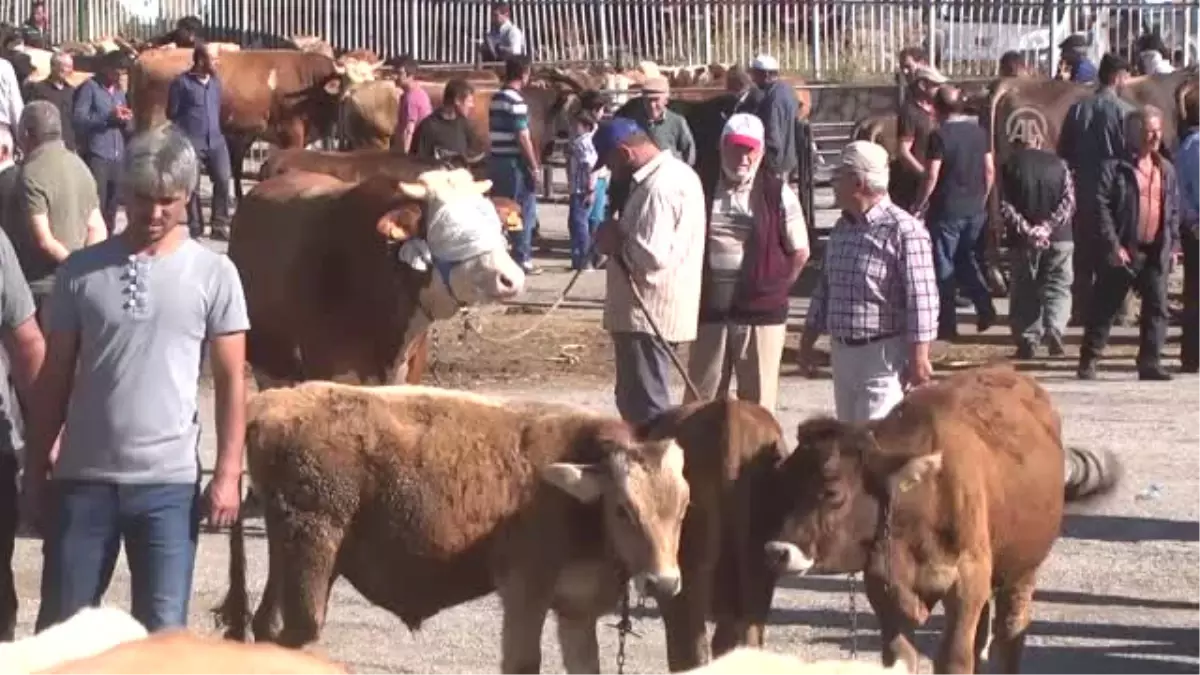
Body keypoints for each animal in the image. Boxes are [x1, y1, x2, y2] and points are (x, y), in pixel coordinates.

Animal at [211, 379, 691, 672]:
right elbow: (523, 662)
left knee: (265, 625)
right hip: (314, 549)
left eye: (684, 507)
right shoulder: (524, 593)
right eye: (624, 509)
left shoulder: (575, 611)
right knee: (300, 631)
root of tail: (273, 402)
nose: (665, 583)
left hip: (286, 552)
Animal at [763, 365, 1118, 667]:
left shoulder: (968, 580)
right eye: (782, 480)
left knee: (1010, 633)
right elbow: (901, 656)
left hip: (1022, 570)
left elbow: (954, 657)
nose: (777, 552)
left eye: (833, 492)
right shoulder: (884, 586)